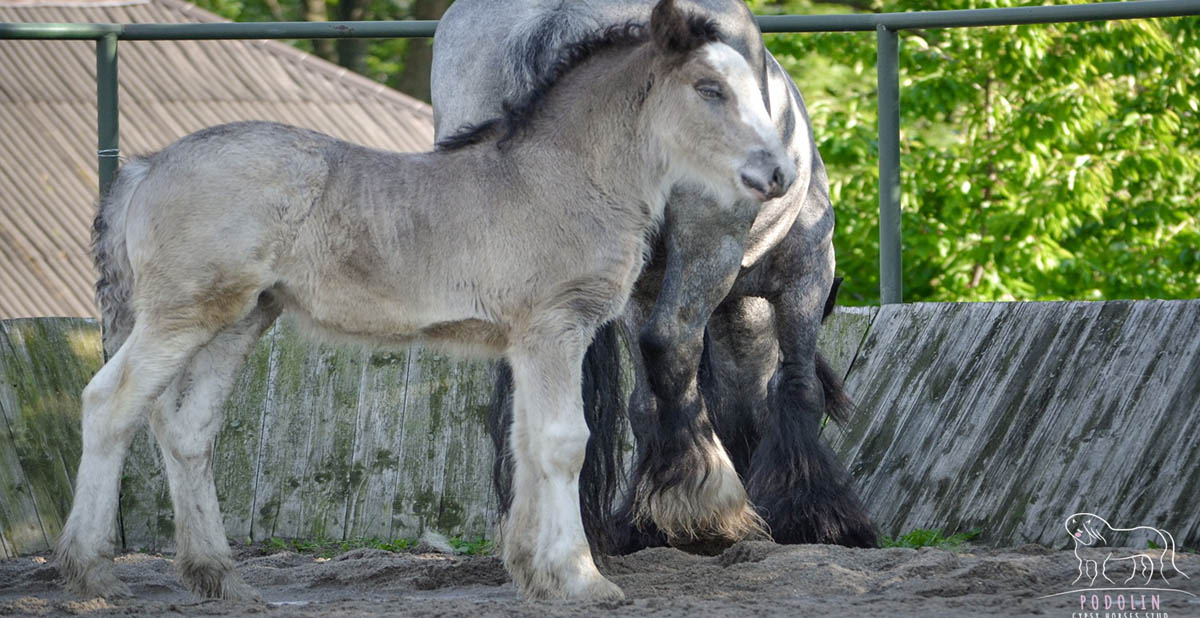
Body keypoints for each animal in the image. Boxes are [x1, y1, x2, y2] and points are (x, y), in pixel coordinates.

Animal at [56, 0, 792, 600]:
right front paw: (582, 580)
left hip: (240, 319)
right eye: (709, 89)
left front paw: (535, 575)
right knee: (108, 405)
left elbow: (526, 442)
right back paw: (90, 572)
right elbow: (562, 443)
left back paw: (220, 577)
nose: (779, 172)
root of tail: (146, 165)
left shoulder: (529, 341)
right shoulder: (555, 327)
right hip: (182, 314)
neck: (563, 175)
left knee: (189, 432)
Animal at [432, 0, 873, 554]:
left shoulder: (642, 289)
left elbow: (644, 404)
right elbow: (797, 386)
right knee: (672, 342)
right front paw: (817, 516)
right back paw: (708, 512)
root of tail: (554, 17)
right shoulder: (807, 272)